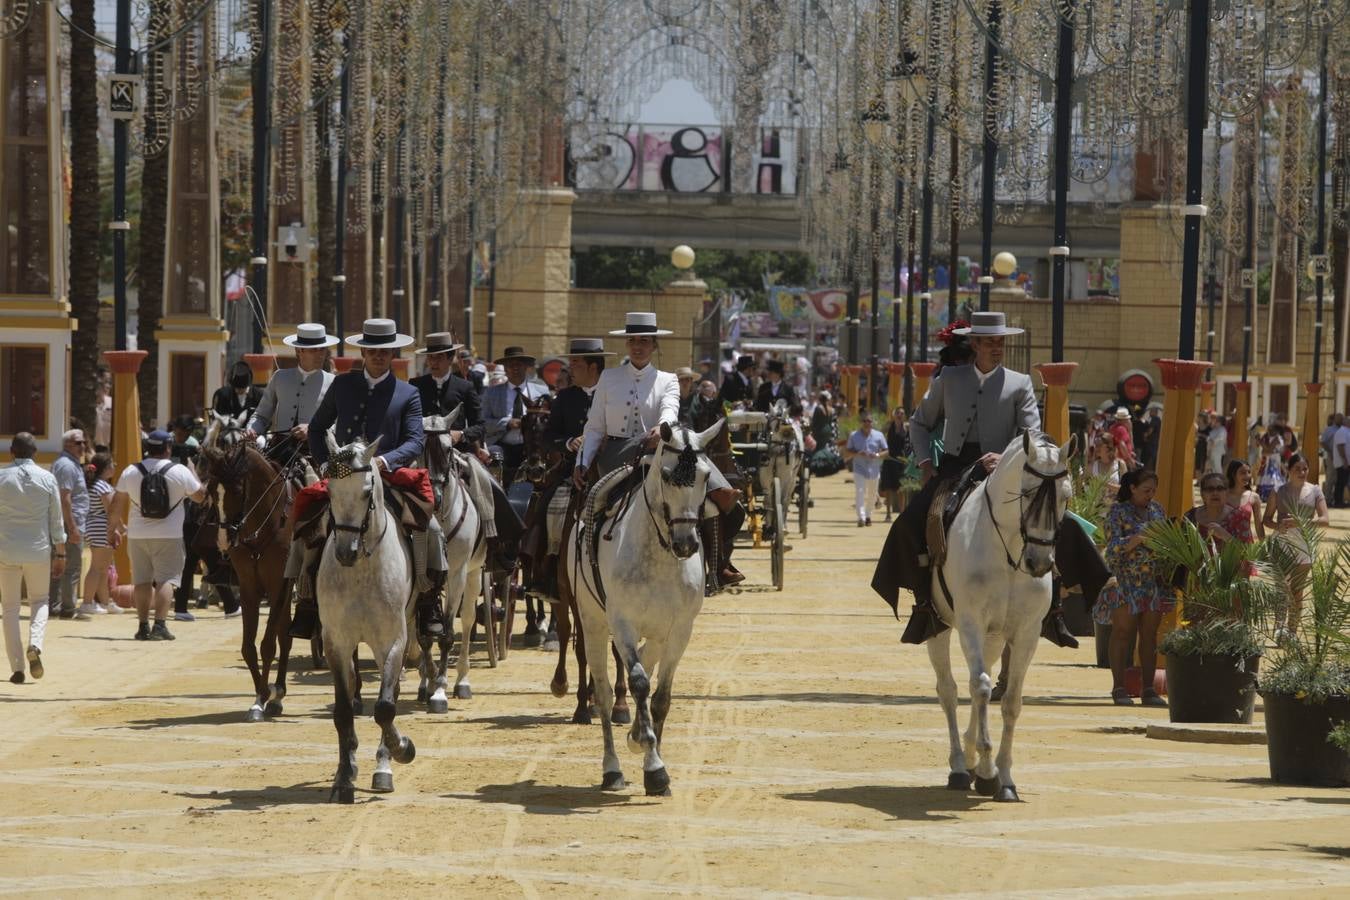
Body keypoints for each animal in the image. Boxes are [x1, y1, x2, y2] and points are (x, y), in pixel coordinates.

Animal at [199, 439, 298, 723]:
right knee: (285, 634)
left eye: (237, 489)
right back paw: (278, 695)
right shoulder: (248, 586)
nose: (223, 540)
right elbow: (248, 647)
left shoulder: (278, 585)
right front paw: (260, 698)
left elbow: (267, 645)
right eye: (211, 490)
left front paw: (263, 696)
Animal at [315, 434, 415, 804]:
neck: (360, 572)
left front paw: (400, 750)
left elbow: (385, 707)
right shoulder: (336, 642)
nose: (345, 552)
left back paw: (383, 763)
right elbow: (343, 711)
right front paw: (344, 777)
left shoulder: (393, 642)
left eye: (366, 490)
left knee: (391, 696)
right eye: (329, 490)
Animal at [418, 412, 494, 712]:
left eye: (449, 448)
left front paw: (439, 689)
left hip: (472, 575)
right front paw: (428, 682)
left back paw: (462, 680)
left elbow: (449, 633)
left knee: (469, 619)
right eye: (420, 448)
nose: (436, 497)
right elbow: (423, 634)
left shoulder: (457, 573)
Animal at [561, 423, 723, 793]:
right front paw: (653, 766)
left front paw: (649, 751)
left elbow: (660, 696)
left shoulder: (680, 630)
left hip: (659, 633)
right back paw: (612, 770)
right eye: (665, 475)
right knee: (604, 693)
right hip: (593, 624)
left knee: (648, 664)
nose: (686, 544)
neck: (660, 554)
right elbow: (637, 683)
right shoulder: (622, 625)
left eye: (706, 475)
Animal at [923, 429, 1069, 804]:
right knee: (950, 690)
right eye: (1027, 493)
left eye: (1066, 496)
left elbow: (1011, 701)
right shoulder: (970, 624)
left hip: (994, 636)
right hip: (940, 628)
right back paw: (961, 767)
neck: (1009, 552)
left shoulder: (1026, 633)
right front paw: (988, 771)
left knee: (979, 681)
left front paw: (1003, 778)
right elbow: (981, 688)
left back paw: (972, 757)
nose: (1039, 563)